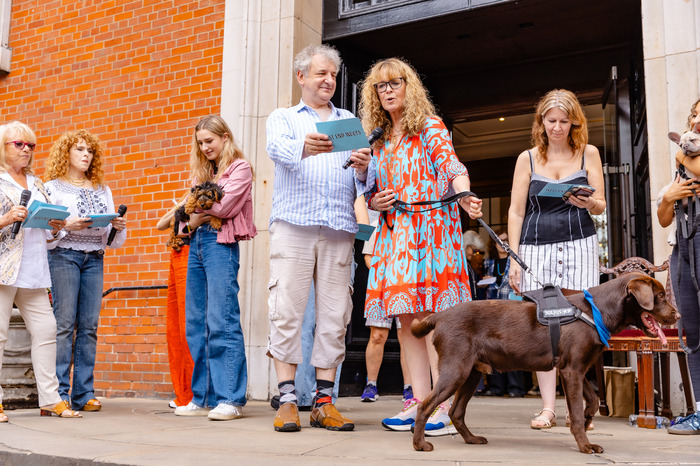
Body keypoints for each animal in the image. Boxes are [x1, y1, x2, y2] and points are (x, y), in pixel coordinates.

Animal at [410, 274, 680, 456]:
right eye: (660, 297)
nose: (677, 315)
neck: (595, 310)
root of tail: (440, 315)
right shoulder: (572, 371)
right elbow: (579, 411)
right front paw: (585, 445)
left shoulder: (574, 369)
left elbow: (592, 402)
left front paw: (586, 420)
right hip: (457, 369)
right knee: (425, 405)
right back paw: (419, 444)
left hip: (472, 373)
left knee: (456, 411)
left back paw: (471, 439)